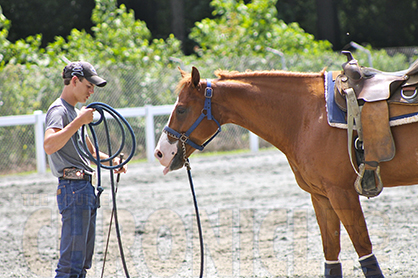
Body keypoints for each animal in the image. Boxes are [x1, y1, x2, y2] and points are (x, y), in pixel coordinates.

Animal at [154, 66, 418, 276]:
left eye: (181, 109)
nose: (160, 153)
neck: (309, 115)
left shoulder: (343, 194)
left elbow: (365, 254)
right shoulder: (322, 197)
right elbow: (331, 257)